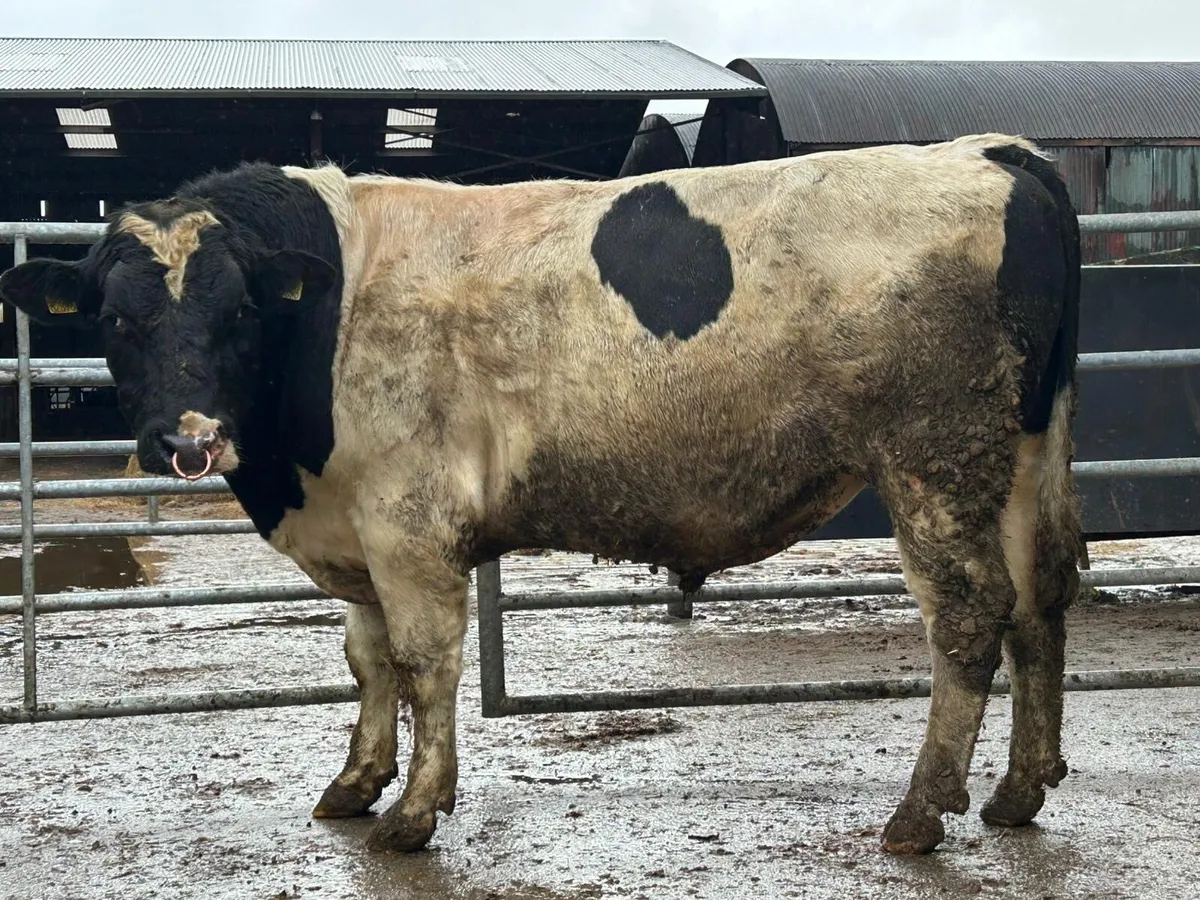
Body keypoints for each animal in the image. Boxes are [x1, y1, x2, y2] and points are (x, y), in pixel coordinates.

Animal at [0, 132, 1082, 856]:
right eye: (117, 318)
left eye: (237, 312)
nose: (188, 438)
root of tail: (988, 152)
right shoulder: (357, 529)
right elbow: (366, 660)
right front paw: (356, 781)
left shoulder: (408, 522)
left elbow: (424, 661)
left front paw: (415, 811)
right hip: (1021, 456)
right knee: (1041, 601)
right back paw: (1020, 792)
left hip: (931, 458)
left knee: (971, 616)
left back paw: (922, 810)